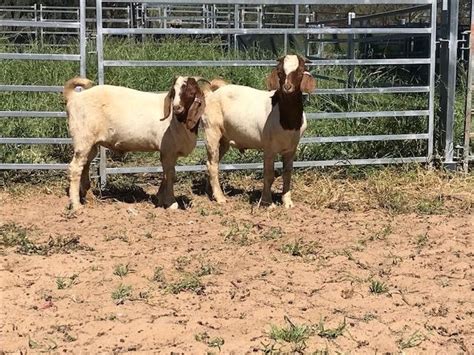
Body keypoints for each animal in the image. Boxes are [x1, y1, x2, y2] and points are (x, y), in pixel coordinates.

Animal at [63, 77, 207, 213]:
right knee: (75, 168)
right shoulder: (168, 150)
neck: (177, 121)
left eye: (191, 92)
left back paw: (88, 198)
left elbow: (167, 174)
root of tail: (74, 96)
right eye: (174, 91)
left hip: (91, 144)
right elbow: (170, 175)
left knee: (85, 165)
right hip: (82, 138)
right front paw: (171, 203)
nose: (177, 108)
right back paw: (76, 205)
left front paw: (160, 199)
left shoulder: (170, 152)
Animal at [203, 54, 316, 207]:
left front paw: (287, 202)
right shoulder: (269, 148)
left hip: (224, 140)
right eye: (280, 72)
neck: (287, 121)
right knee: (213, 165)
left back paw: (211, 192)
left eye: (300, 71)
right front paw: (267, 202)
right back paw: (220, 197)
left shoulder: (291, 148)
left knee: (211, 163)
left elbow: (287, 174)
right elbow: (269, 175)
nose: (287, 87)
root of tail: (211, 94)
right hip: (211, 131)